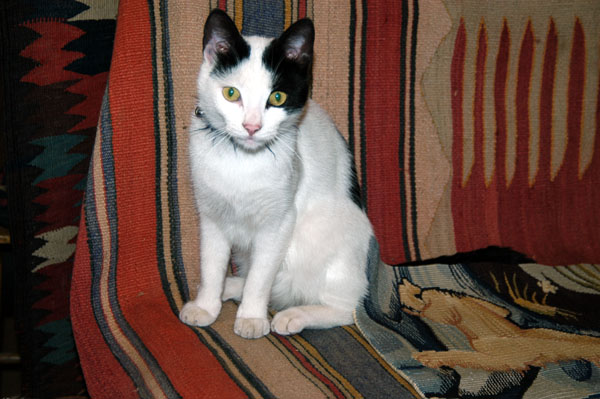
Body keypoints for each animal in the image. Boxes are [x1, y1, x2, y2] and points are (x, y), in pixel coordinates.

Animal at [179, 9, 376, 340]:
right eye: (231, 93)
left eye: (278, 98)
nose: (252, 126)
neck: (241, 161)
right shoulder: (211, 216)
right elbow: (212, 264)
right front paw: (207, 304)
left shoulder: (279, 222)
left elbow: (261, 277)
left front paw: (251, 317)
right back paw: (229, 286)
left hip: (325, 239)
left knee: (346, 309)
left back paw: (295, 314)